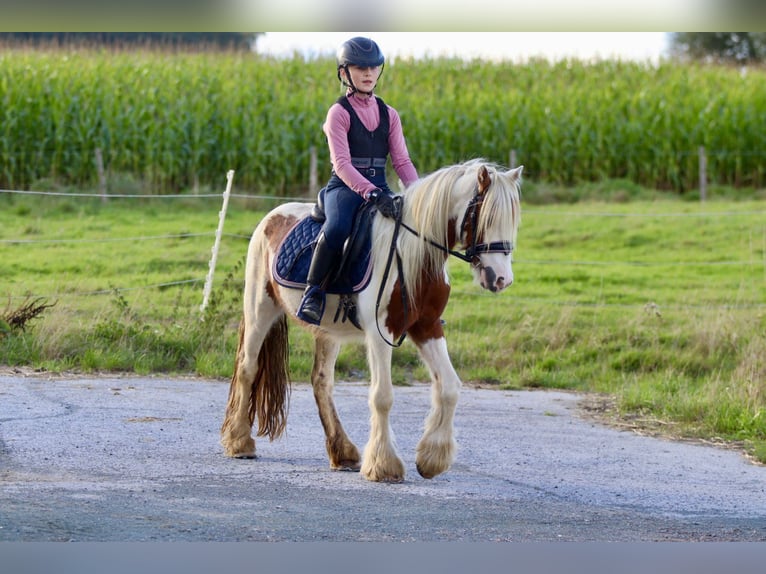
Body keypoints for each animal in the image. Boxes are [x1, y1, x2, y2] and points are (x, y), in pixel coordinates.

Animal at [222, 158, 520, 482]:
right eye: (485, 217)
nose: (501, 279)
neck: (413, 252)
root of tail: (272, 217)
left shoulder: (426, 327)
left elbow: (450, 387)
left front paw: (432, 458)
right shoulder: (381, 333)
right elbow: (382, 396)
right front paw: (384, 465)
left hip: (326, 331)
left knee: (321, 382)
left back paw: (343, 453)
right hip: (260, 310)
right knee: (247, 368)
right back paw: (240, 442)